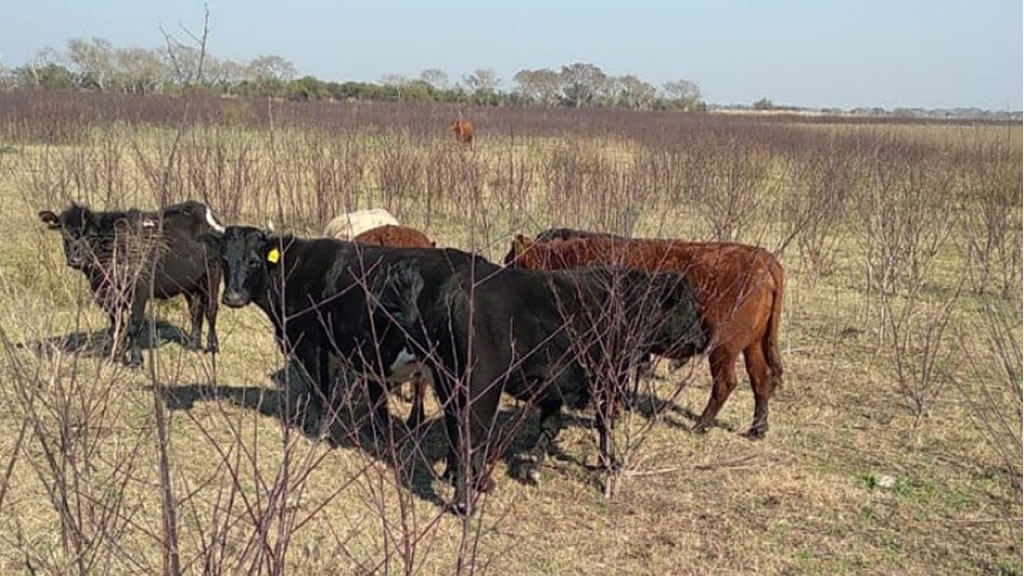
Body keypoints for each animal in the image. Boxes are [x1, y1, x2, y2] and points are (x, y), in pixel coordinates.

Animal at [41, 199, 224, 364]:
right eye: (65, 235)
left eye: (91, 235)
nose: (75, 259)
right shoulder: (108, 296)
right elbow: (117, 326)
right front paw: (116, 356)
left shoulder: (139, 293)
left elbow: (134, 325)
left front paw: (136, 359)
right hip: (190, 283)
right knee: (196, 311)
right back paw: (193, 345)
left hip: (213, 274)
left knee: (211, 309)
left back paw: (212, 346)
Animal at [509, 233, 782, 434]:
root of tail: (764, 260)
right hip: (753, 345)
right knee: (760, 377)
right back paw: (758, 428)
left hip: (722, 347)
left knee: (726, 382)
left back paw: (701, 425)